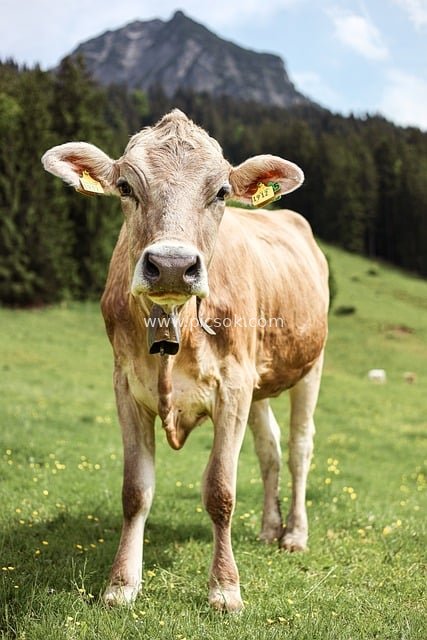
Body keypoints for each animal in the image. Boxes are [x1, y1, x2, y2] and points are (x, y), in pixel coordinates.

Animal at [41, 110, 329, 612]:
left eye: (222, 192)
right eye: (125, 187)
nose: (173, 265)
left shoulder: (232, 386)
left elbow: (221, 490)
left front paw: (225, 589)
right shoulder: (126, 386)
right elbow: (135, 491)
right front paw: (121, 584)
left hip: (310, 366)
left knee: (299, 447)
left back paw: (294, 534)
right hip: (259, 384)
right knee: (270, 448)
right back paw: (269, 528)